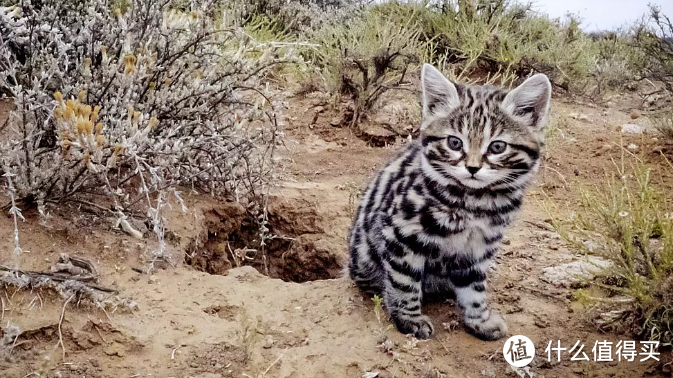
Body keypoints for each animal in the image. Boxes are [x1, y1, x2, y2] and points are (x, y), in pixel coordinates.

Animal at [350, 63, 548, 342]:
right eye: (454, 143)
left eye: (497, 147)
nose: (473, 168)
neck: (475, 202)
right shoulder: (401, 232)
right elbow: (404, 280)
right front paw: (409, 319)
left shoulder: (478, 247)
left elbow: (474, 287)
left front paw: (479, 320)